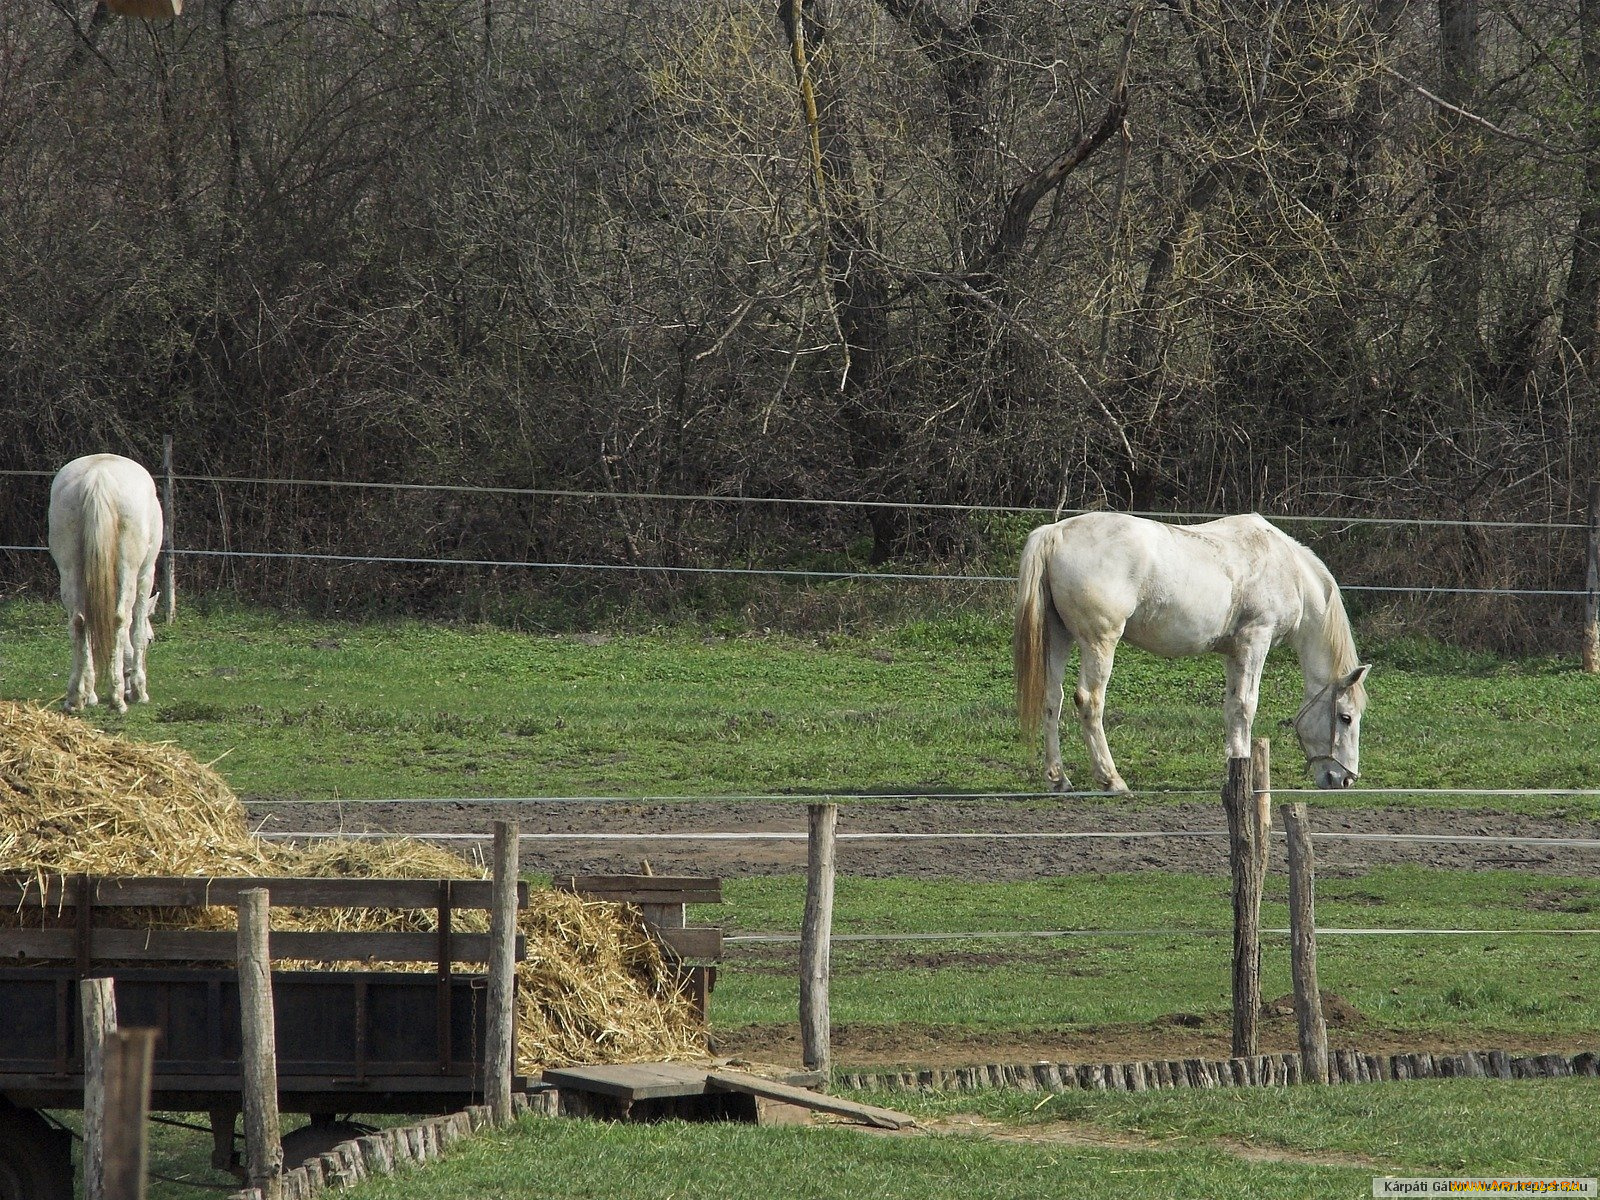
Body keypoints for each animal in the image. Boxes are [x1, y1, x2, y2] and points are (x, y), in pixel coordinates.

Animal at [47, 454, 165, 713]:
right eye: (152, 641)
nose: (131, 690)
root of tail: (97, 475)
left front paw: (89, 695)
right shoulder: (146, 574)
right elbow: (137, 630)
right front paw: (139, 691)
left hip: (70, 569)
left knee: (78, 621)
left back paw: (75, 698)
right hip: (129, 569)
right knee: (119, 618)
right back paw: (117, 698)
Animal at [1017, 512, 1369, 793]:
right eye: (1346, 717)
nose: (1345, 779)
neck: (1288, 569)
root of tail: (1054, 532)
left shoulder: (1234, 653)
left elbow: (1232, 708)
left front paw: (1235, 768)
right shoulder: (1256, 640)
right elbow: (1246, 706)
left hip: (1060, 638)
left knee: (1052, 699)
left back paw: (1058, 779)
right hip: (1100, 641)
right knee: (1089, 701)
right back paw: (1111, 779)